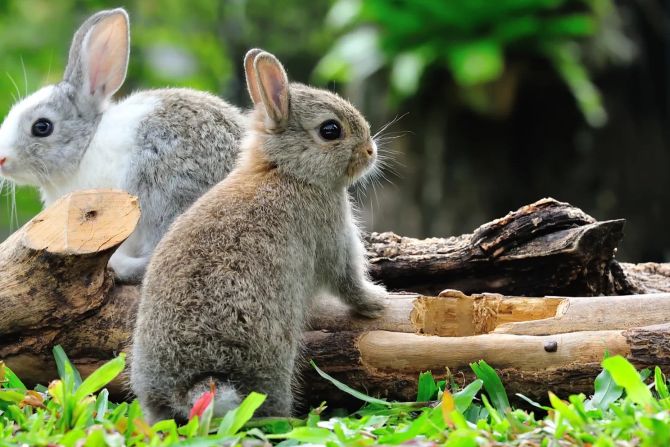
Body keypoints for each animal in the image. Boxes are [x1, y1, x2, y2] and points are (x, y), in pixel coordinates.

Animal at [130, 48, 388, 422]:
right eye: (330, 130)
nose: (370, 151)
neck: (286, 171)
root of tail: (190, 385)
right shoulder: (332, 235)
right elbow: (348, 281)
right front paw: (377, 302)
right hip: (271, 361)